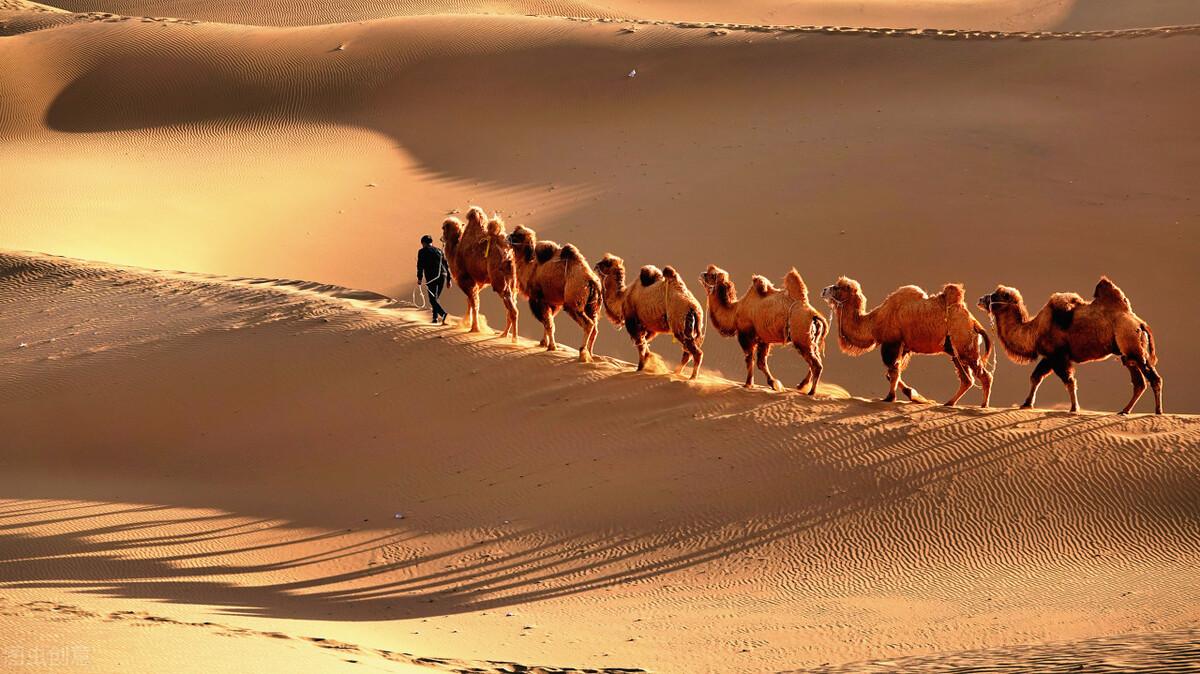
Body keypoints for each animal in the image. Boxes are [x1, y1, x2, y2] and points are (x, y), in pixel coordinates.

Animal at [439, 206, 518, 340]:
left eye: (444, 227)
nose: (441, 238)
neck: (455, 250)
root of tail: (507, 253)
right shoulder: (477, 282)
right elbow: (470, 302)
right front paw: (467, 323)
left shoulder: (466, 280)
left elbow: (474, 304)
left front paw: (474, 328)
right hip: (512, 283)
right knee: (511, 306)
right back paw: (504, 334)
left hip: (500, 282)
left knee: (512, 309)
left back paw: (513, 339)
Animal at [506, 224, 600, 362]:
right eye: (515, 232)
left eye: (518, 235)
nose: (507, 237)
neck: (529, 266)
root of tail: (591, 281)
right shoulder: (552, 302)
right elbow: (549, 322)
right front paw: (543, 343)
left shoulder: (538, 300)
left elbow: (548, 323)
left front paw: (551, 346)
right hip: (592, 306)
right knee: (595, 328)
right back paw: (591, 354)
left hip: (573, 303)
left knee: (588, 324)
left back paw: (582, 353)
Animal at [700, 263, 830, 393]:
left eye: (711, 275)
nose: (701, 274)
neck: (735, 311)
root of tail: (814, 315)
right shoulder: (763, 340)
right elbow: (761, 363)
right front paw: (774, 384)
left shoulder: (745, 335)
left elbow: (749, 360)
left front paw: (748, 384)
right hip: (811, 340)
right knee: (814, 360)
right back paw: (801, 386)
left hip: (801, 338)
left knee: (816, 364)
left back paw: (811, 392)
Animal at [816, 277, 993, 402]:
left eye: (837, 287)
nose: (824, 290)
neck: (875, 322)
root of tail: (973, 322)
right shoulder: (904, 347)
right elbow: (893, 373)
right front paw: (915, 396)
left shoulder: (892, 343)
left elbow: (893, 371)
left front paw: (890, 398)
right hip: (954, 350)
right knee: (967, 379)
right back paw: (949, 403)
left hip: (964, 346)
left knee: (984, 376)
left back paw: (982, 407)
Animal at [974, 275, 1161, 412]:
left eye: (995, 296)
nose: (981, 299)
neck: (1033, 330)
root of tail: (1139, 322)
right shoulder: (1049, 357)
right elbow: (1035, 377)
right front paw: (1026, 404)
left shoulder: (1058, 356)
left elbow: (1069, 380)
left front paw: (1074, 408)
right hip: (1128, 353)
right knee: (1139, 382)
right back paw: (1124, 411)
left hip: (1132, 345)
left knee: (1154, 378)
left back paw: (1157, 412)